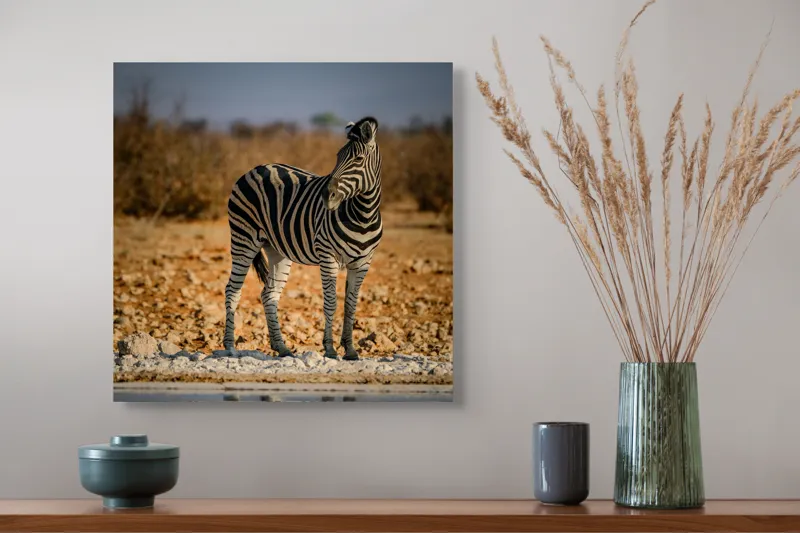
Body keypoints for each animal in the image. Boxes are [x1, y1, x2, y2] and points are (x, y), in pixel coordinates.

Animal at [223, 116, 383, 361]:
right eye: (338, 156)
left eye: (358, 159)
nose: (327, 196)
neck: (363, 216)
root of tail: (256, 168)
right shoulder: (328, 256)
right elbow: (331, 302)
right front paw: (330, 349)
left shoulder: (364, 262)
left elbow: (351, 305)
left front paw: (350, 350)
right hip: (243, 238)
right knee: (232, 289)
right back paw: (230, 348)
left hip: (276, 250)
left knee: (269, 294)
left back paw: (281, 347)